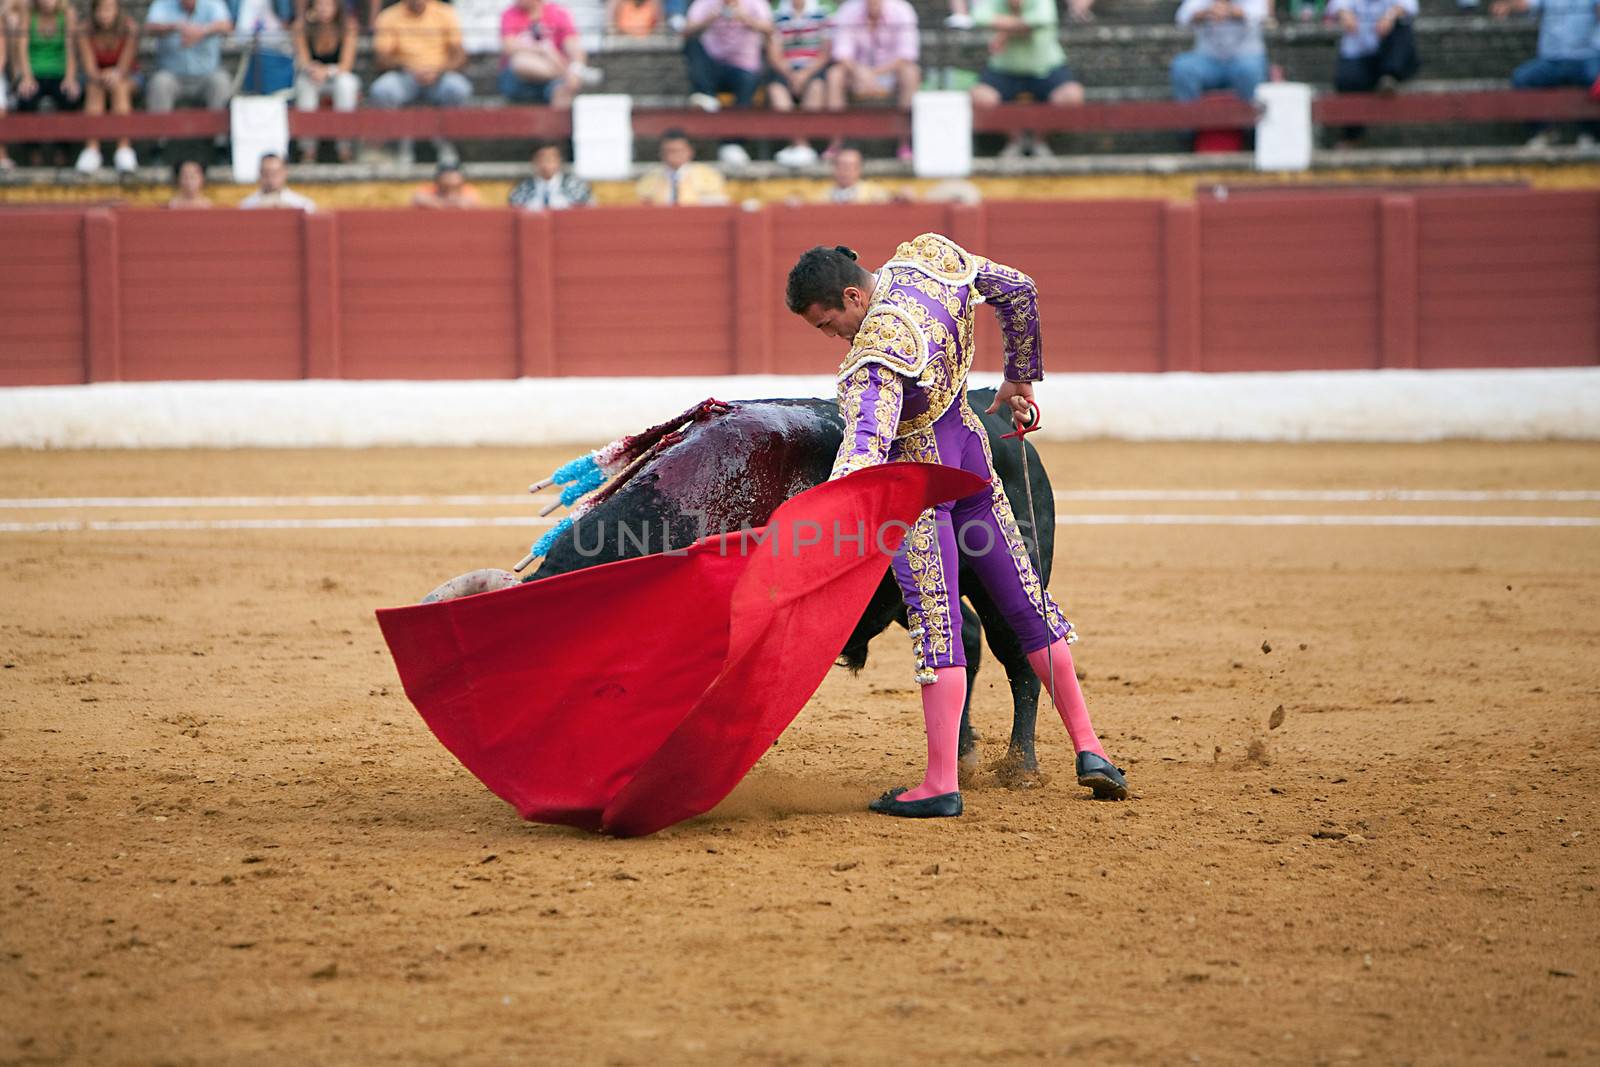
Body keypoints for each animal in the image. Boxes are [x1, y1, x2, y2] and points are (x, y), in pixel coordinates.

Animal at [480, 390, 1056, 777]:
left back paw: (1020, 766)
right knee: (965, 642)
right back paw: (963, 753)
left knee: (1020, 651)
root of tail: (990, 409)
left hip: (1011, 568)